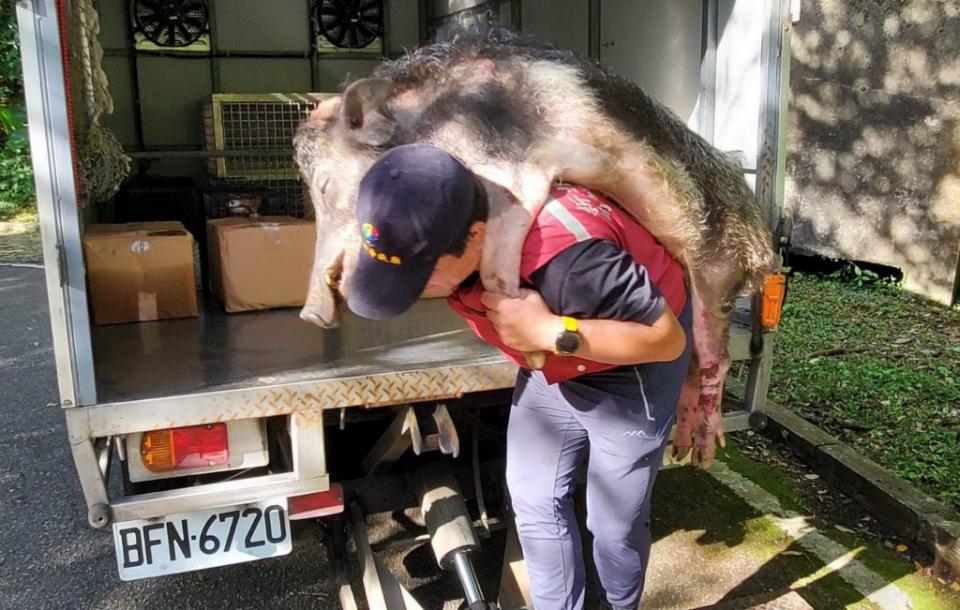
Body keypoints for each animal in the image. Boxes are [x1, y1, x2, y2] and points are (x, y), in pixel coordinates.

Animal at [290, 29, 772, 466]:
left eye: (326, 186)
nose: (309, 313)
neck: (436, 122)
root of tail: (762, 243)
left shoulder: (517, 171)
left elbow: (494, 273)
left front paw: (531, 347)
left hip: (718, 271)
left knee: (715, 359)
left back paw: (704, 453)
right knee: (692, 361)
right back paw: (684, 449)